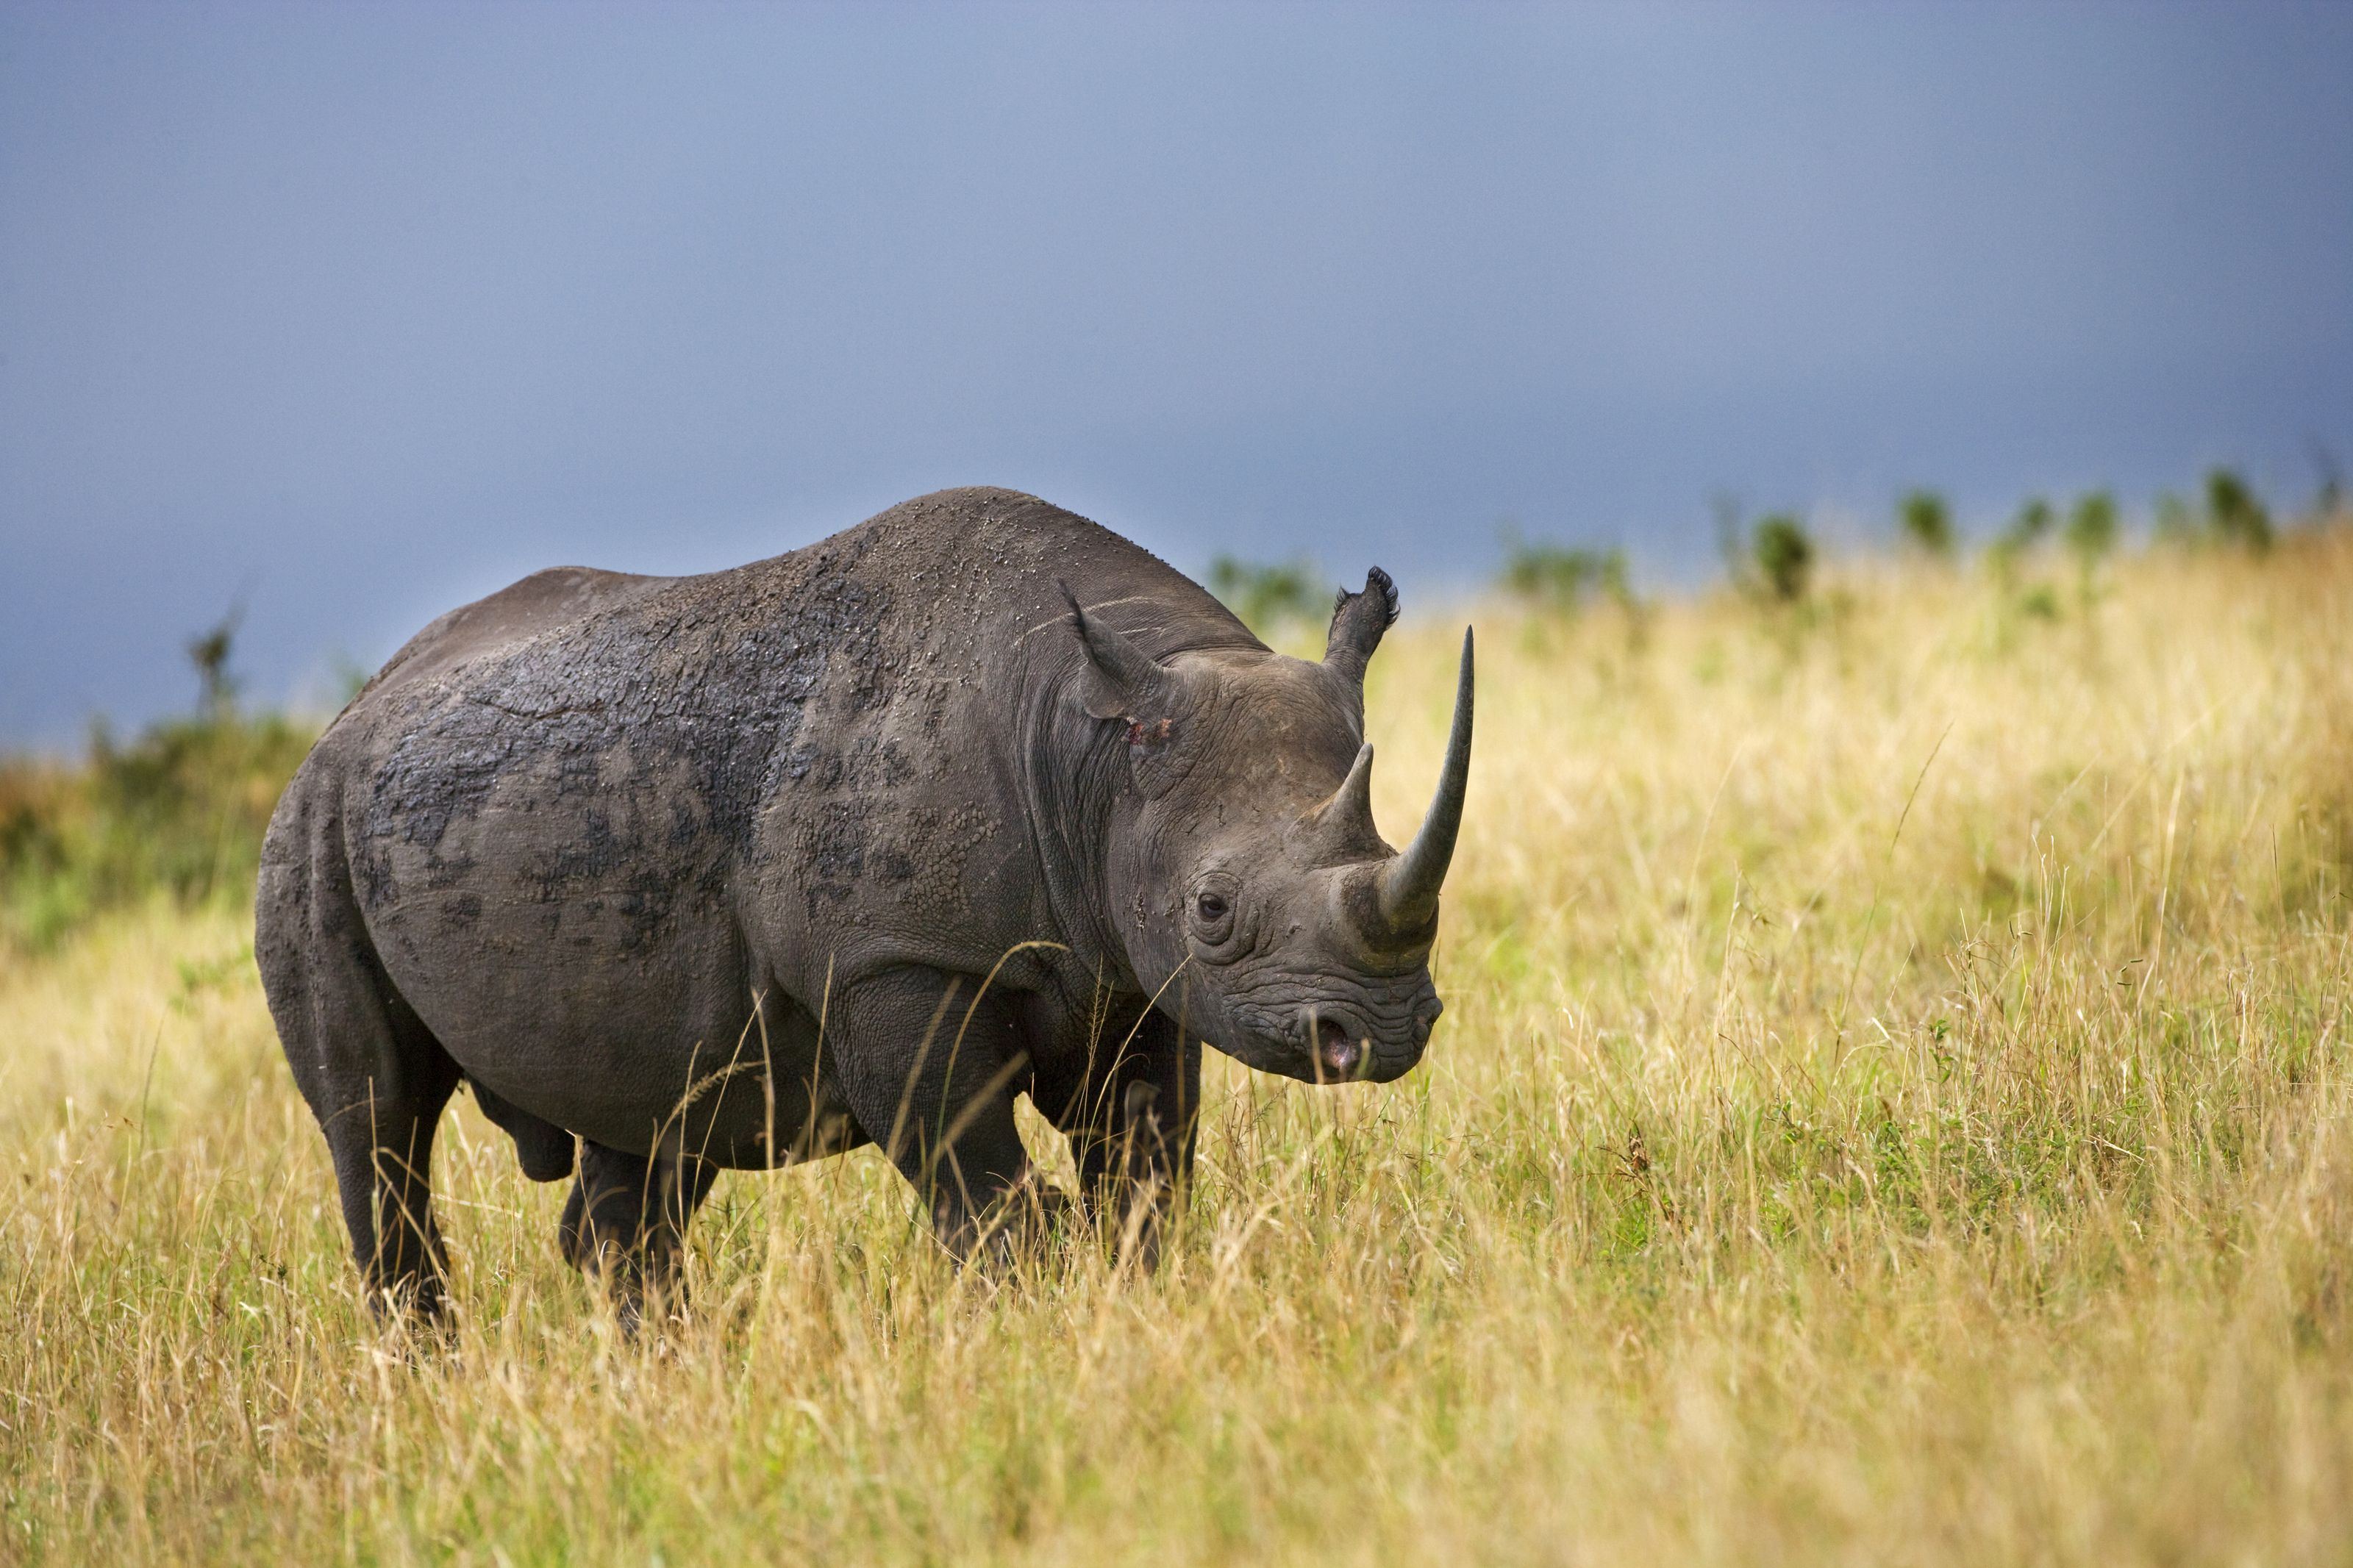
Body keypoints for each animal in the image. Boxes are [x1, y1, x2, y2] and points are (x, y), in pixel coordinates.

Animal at [256, 487, 1472, 1320]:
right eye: (1214, 909)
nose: (1380, 1031)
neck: (1086, 746)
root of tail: (355, 706)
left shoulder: (1127, 967)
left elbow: (1143, 1172)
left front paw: (1133, 1306)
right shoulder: (892, 960)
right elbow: (983, 1187)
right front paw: (1029, 1323)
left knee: (645, 1137)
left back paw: (668, 1380)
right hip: (308, 834)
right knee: (378, 1125)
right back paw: (428, 1374)